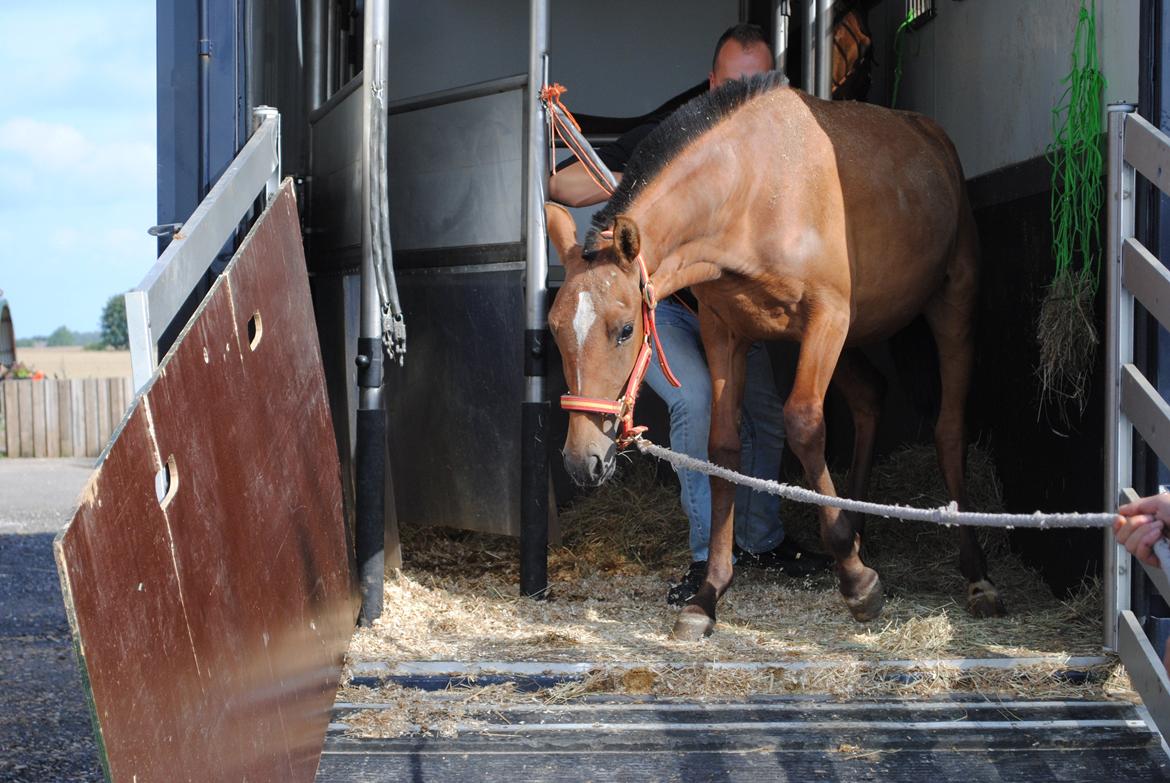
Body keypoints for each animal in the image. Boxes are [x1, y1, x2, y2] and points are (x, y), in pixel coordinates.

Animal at [542, 73, 1001, 636]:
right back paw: (858, 528)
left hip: (950, 303)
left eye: (626, 330)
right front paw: (708, 595)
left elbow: (803, 424)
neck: (756, 192)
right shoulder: (725, 333)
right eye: (555, 329)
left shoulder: (828, 317)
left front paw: (858, 583)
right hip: (851, 338)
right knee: (870, 399)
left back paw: (975, 575)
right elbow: (722, 448)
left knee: (948, 428)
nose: (581, 460)